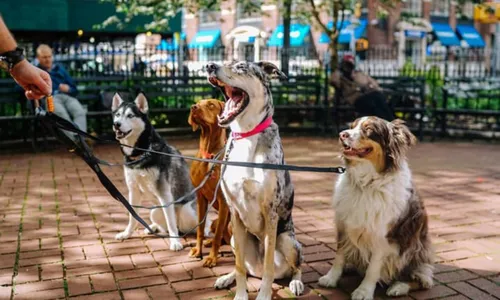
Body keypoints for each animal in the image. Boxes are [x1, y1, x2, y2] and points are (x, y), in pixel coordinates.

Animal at [112, 93, 198, 251]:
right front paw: (127, 233)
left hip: (186, 211)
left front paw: (175, 242)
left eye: (130, 115)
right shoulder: (133, 190)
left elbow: (170, 222)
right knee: (166, 225)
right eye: (117, 115)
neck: (142, 152)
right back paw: (153, 227)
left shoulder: (165, 193)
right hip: (155, 211)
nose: (117, 124)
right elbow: (132, 216)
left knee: (189, 225)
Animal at [188, 98, 231, 268]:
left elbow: (218, 235)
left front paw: (212, 258)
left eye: (211, 104)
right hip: (214, 221)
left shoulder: (223, 200)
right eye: (197, 103)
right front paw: (198, 250)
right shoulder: (200, 197)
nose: (193, 107)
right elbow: (200, 229)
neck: (209, 156)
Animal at [205, 61, 302, 300]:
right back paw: (226, 278)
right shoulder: (234, 212)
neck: (246, 135)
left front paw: (264, 295)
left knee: (295, 267)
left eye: (240, 67)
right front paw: (240, 294)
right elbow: (240, 267)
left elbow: (268, 269)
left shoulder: (271, 213)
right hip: (233, 237)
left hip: (288, 241)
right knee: (246, 268)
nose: (209, 65)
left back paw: (296, 282)